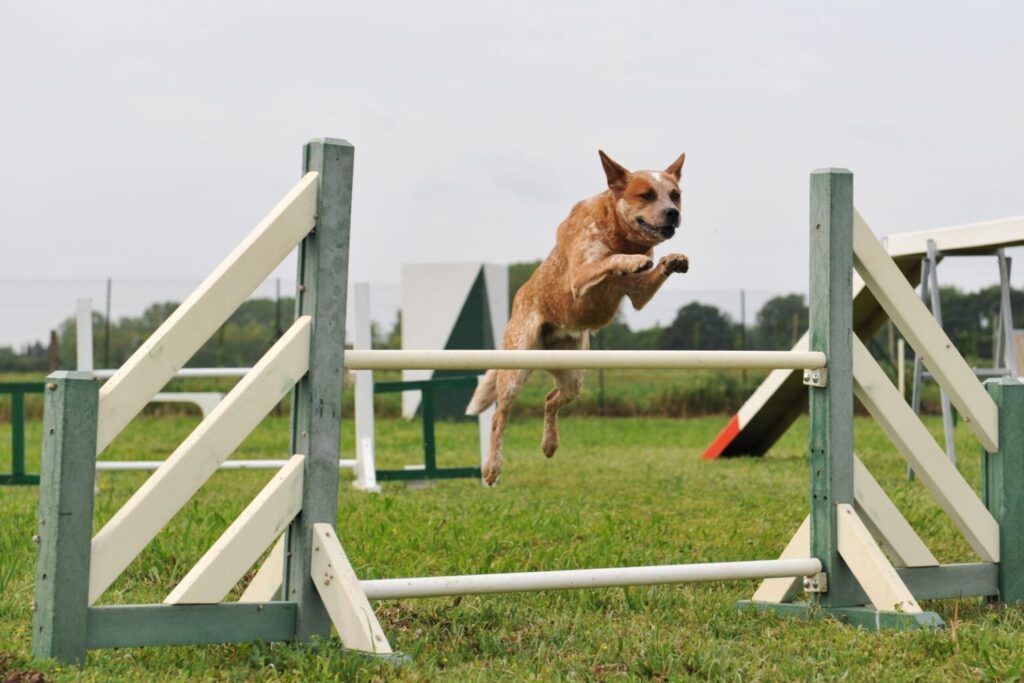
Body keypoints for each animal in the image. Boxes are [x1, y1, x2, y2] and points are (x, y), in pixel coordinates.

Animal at [468, 152, 692, 485]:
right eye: (647, 195)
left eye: (675, 195)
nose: (673, 213)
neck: (620, 234)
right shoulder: (580, 276)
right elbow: (610, 260)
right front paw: (631, 261)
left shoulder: (638, 296)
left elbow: (650, 271)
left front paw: (672, 260)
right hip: (516, 368)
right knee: (499, 414)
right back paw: (492, 467)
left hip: (574, 374)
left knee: (551, 398)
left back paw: (549, 444)